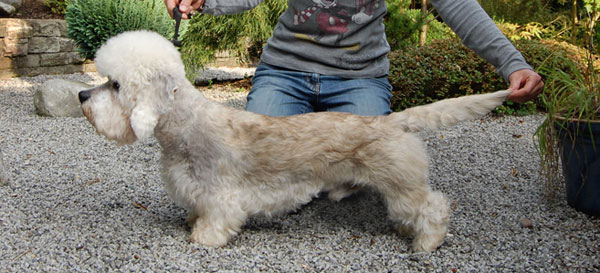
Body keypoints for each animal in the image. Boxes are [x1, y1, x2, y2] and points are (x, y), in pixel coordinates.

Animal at [78, 30, 510, 251]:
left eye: (116, 85)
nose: (81, 96)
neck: (185, 129)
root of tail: (391, 122)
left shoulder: (222, 196)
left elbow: (216, 222)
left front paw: (204, 239)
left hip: (402, 185)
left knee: (434, 205)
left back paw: (427, 243)